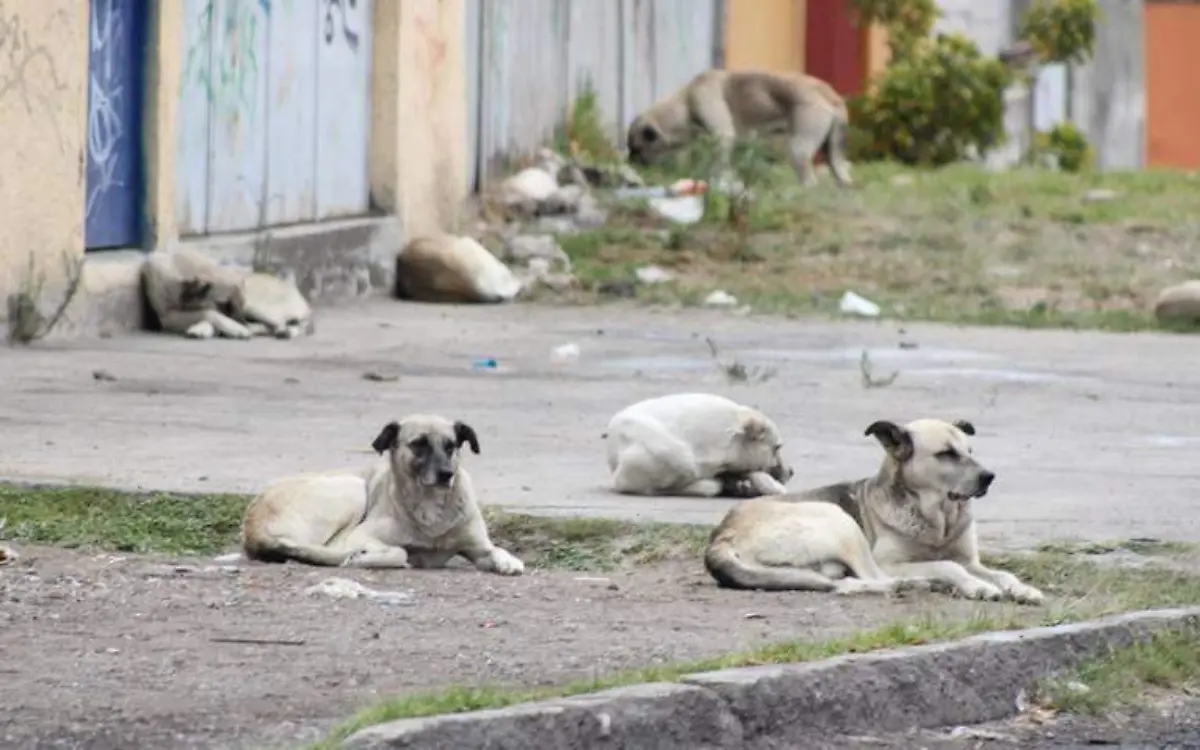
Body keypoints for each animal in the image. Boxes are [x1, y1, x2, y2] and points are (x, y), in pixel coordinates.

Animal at [141, 247, 314, 338]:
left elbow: (209, 313)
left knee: (284, 324)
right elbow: (209, 313)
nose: (242, 321)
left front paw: (234, 328)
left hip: (255, 307)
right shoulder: (167, 317)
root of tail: (289, 285)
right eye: (226, 304)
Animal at [624, 67, 859, 187]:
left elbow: (719, 163)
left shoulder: (722, 134)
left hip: (799, 148)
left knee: (807, 174)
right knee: (839, 170)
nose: (629, 161)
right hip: (834, 155)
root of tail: (829, 94)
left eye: (636, 149)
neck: (685, 103)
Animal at [705, 415, 1046, 602]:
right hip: (840, 521)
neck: (938, 521)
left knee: (849, 583)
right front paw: (977, 587)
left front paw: (1022, 590)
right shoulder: (894, 562)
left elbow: (1001, 573)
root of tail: (722, 533)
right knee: (874, 578)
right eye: (946, 454)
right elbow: (950, 566)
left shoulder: (969, 559)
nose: (989, 477)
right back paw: (923, 584)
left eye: (970, 451)